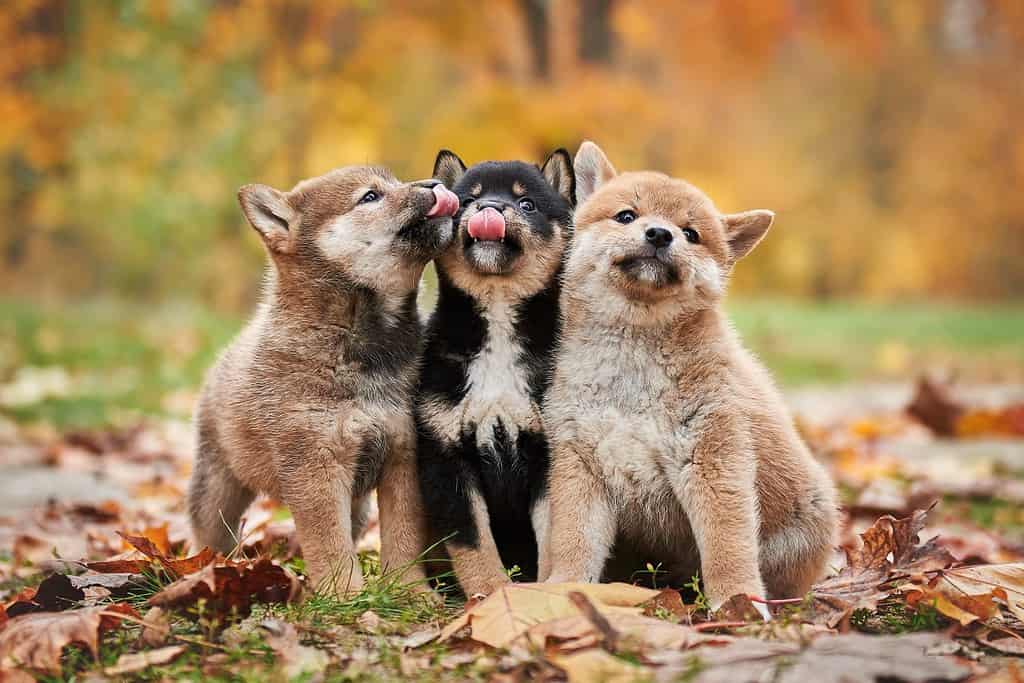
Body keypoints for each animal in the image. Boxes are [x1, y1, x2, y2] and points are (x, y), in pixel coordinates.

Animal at [187, 166, 456, 598]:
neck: (366, 353)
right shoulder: (315, 462)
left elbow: (403, 536)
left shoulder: (403, 453)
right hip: (217, 484)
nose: (435, 185)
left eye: (395, 181)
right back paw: (207, 569)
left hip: (358, 503)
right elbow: (329, 542)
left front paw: (408, 591)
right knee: (208, 531)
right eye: (370, 197)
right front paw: (345, 595)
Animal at [415, 148, 577, 593]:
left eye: (526, 203)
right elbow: (473, 541)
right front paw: (490, 592)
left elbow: (552, 536)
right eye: (468, 200)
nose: (490, 208)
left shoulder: (547, 452)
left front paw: (541, 590)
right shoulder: (446, 455)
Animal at [540, 141, 835, 610]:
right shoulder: (579, 464)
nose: (660, 234)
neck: (633, 363)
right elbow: (574, 542)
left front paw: (736, 603)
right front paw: (562, 589)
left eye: (691, 233)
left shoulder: (713, 458)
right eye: (627, 216)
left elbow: (726, 548)